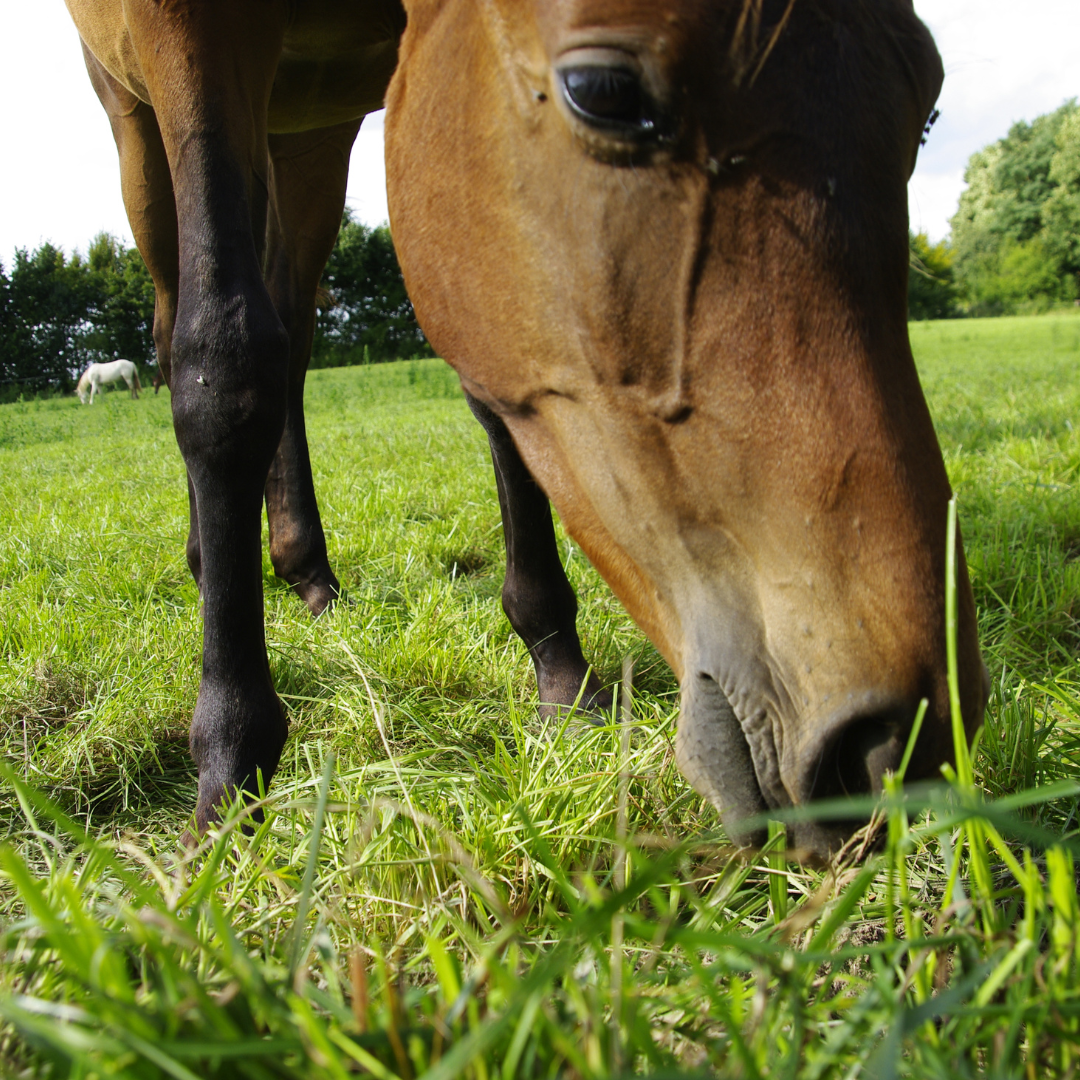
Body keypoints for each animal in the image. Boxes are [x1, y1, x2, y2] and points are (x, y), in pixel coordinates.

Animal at [65, 0, 988, 857]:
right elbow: (218, 362)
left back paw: (307, 571)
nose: (904, 743)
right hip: (134, 113)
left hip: (308, 138)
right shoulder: (189, 33)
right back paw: (211, 561)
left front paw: (560, 668)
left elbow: (493, 396)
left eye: (926, 106)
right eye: (603, 91)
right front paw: (229, 772)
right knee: (184, 324)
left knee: (291, 327)